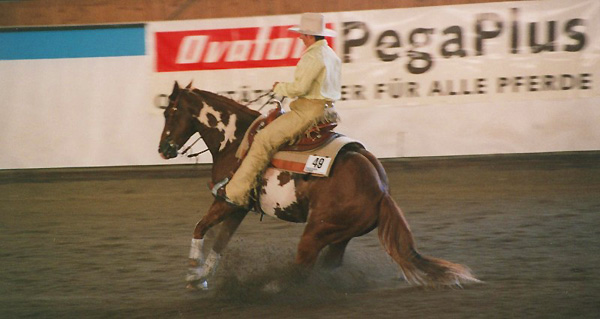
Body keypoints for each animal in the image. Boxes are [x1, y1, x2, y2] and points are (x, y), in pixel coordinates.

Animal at [158, 83, 478, 292]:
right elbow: (219, 243)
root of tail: (381, 191)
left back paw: (273, 286)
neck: (235, 141)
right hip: (339, 235)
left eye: (170, 112)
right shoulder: (237, 206)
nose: (163, 149)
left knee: (303, 268)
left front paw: (192, 275)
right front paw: (201, 277)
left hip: (315, 233)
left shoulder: (226, 201)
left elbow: (200, 228)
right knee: (327, 265)